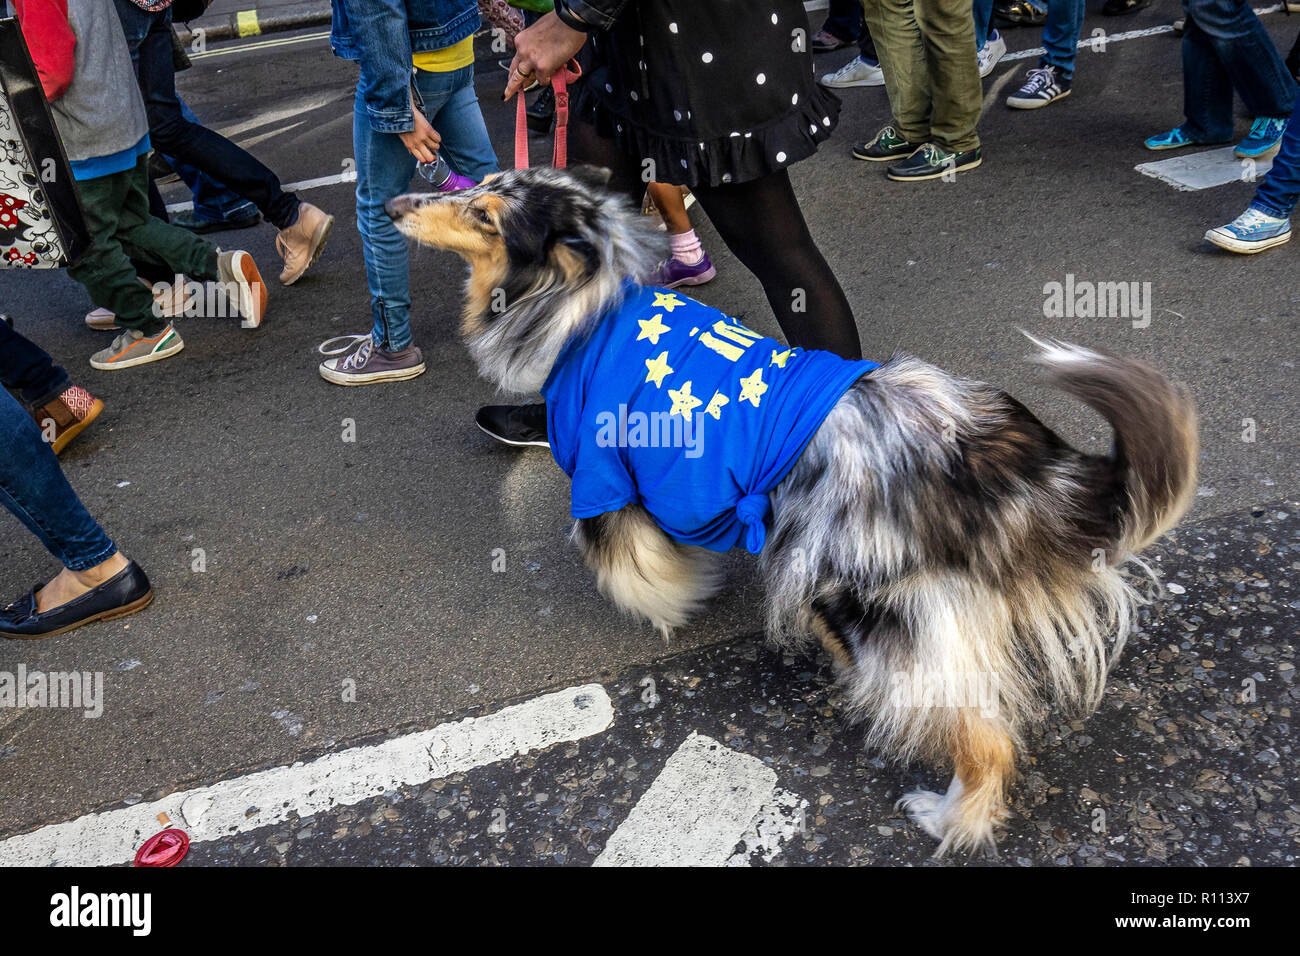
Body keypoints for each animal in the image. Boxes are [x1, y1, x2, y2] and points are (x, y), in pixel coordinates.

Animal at [387, 166, 1196, 858]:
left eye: (485, 215)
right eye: (475, 187)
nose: (393, 204)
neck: (583, 299)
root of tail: (982, 450)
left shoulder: (606, 479)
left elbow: (639, 566)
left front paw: (671, 608)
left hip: (865, 601)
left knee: (982, 736)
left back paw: (946, 817)